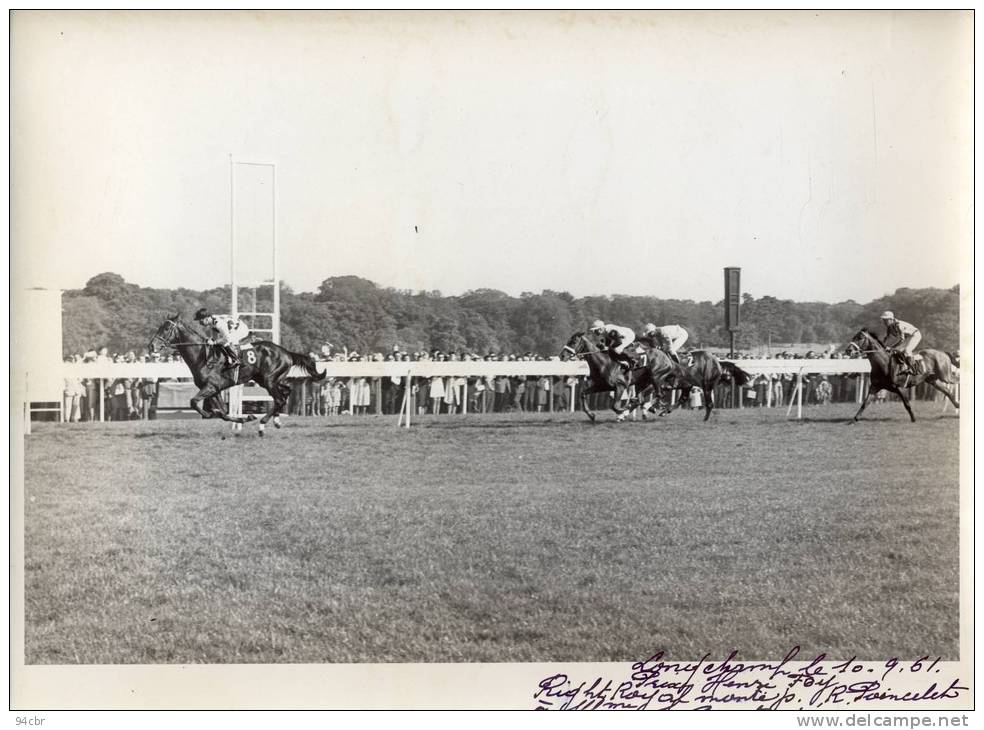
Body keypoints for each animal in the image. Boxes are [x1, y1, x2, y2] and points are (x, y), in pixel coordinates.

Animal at [148, 312, 326, 432]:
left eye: (166, 328)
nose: (151, 346)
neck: (203, 356)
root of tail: (287, 352)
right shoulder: (215, 389)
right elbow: (222, 412)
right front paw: (244, 418)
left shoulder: (210, 387)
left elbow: (194, 402)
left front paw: (211, 414)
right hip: (268, 380)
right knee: (285, 392)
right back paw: (276, 421)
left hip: (269, 380)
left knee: (280, 399)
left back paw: (263, 424)